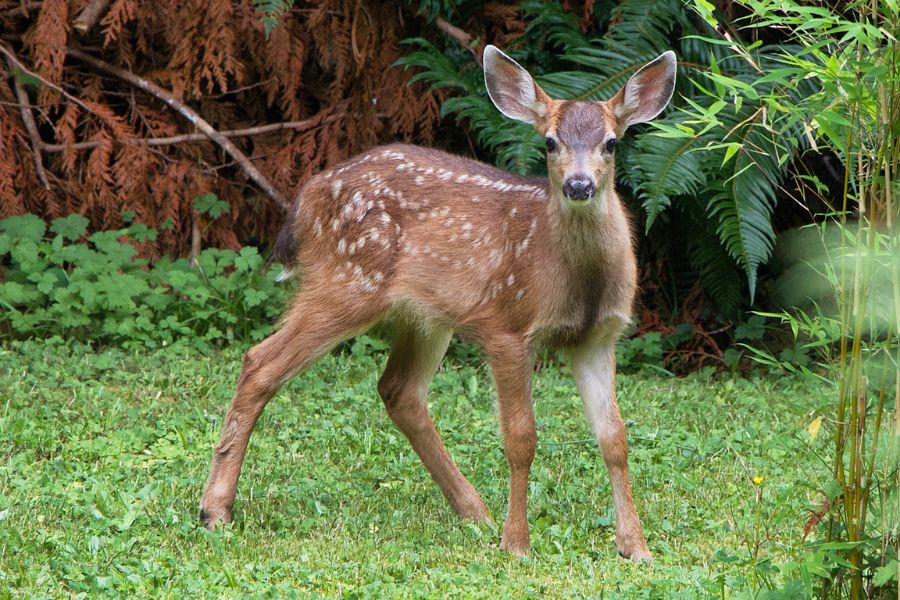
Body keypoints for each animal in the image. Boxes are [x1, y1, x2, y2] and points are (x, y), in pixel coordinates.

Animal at [199, 44, 676, 560]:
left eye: (611, 143)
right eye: (549, 142)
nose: (579, 186)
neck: (574, 280)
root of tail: (307, 199)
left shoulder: (598, 337)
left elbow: (615, 439)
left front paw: (636, 547)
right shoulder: (506, 325)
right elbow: (521, 438)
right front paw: (516, 543)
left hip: (424, 315)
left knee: (399, 390)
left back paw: (474, 510)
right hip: (347, 280)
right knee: (260, 362)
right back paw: (215, 510)